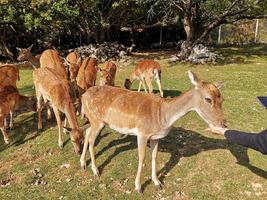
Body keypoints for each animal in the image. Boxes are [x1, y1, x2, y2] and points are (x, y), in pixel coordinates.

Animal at [80, 70, 227, 194]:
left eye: (222, 99)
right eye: (208, 99)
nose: (223, 122)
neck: (163, 116)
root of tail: (83, 95)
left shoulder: (156, 137)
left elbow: (154, 156)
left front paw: (157, 183)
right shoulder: (142, 133)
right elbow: (142, 157)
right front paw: (138, 187)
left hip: (96, 121)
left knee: (87, 133)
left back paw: (83, 163)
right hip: (97, 119)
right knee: (92, 139)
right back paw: (95, 170)